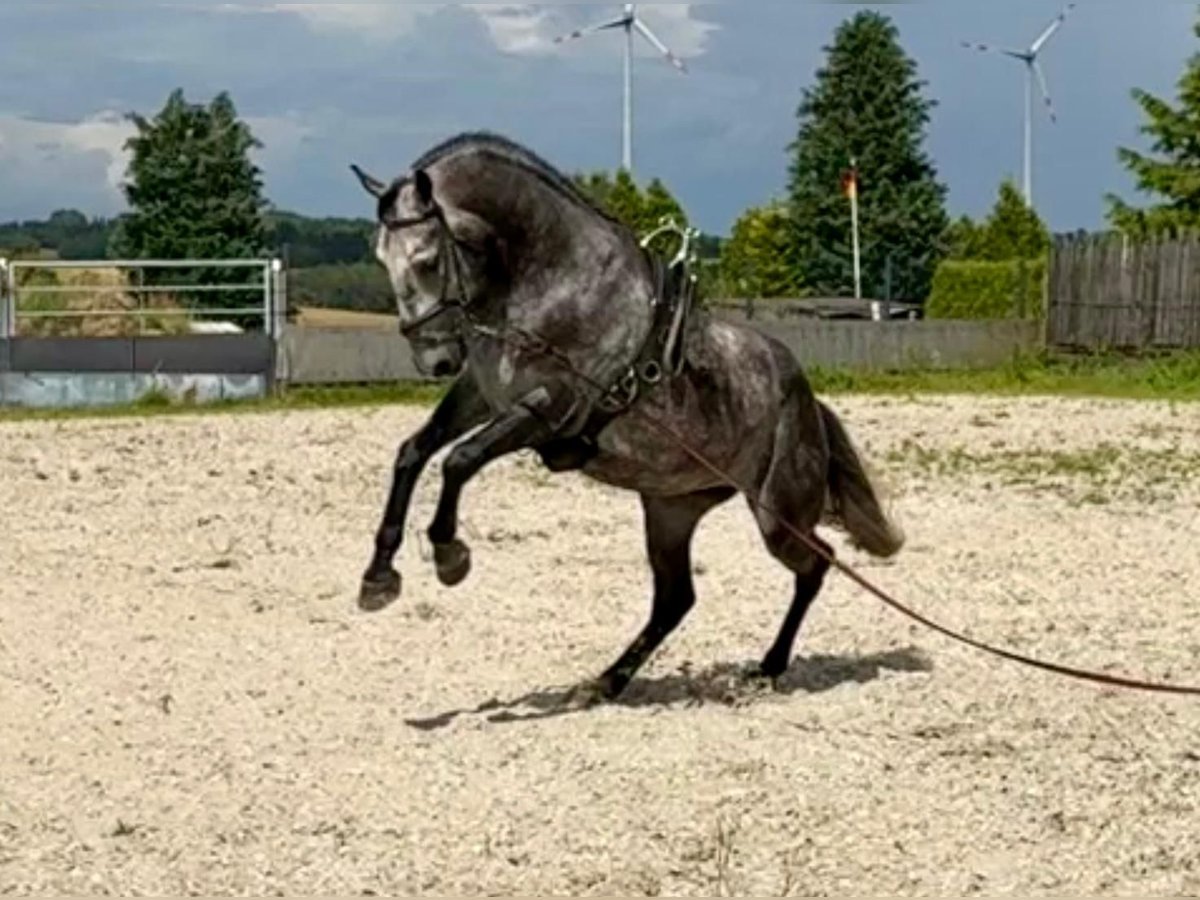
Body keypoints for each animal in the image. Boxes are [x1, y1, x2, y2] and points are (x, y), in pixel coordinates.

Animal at [348, 132, 902, 710]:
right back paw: (606, 681)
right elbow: (414, 452)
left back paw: (767, 668)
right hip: (670, 511)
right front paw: (379, 578)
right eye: (382, 258)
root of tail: (807, 400)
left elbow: (459, 459)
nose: (435, 360)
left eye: (428, 259)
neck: (549, 284)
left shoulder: (552, 406)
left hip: (778, 515)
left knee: (816, 565)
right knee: (676, 599)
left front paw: (449, 555)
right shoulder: (482, 394)